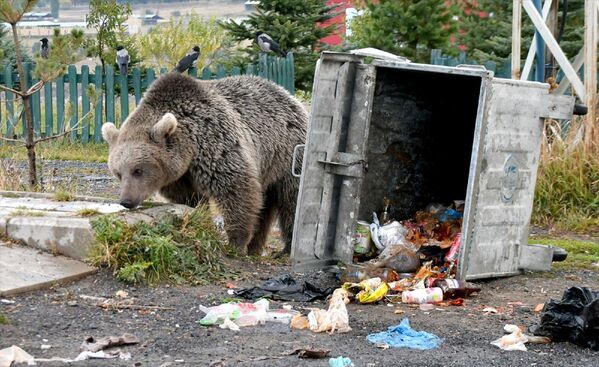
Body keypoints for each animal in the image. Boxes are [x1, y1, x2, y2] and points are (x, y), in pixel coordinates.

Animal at [102, 72, 308, 256]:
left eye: (138, 170)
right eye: (118, 173)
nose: (126, 201)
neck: (190, 148)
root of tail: (288, 95)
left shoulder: (216, 145)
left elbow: (236, 190)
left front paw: (235, 242)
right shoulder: (179, 178)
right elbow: (191, 200)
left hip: (287, 153)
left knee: (292, 200)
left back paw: (286, 248)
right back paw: (255, 248)